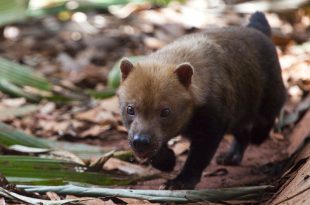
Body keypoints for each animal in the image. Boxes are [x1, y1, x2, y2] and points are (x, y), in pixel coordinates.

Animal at [117, 12, 286, 189]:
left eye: (165, 112)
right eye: (130, 109)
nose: (140, 142)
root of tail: (259, 30)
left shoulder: (213, 125)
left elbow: (198, 158)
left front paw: (181, 181)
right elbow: (159, 146)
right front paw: (168, 161)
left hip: (271, 96)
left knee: (268, 116)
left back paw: (258, 137)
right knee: (243, 132)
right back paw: (231, 156)